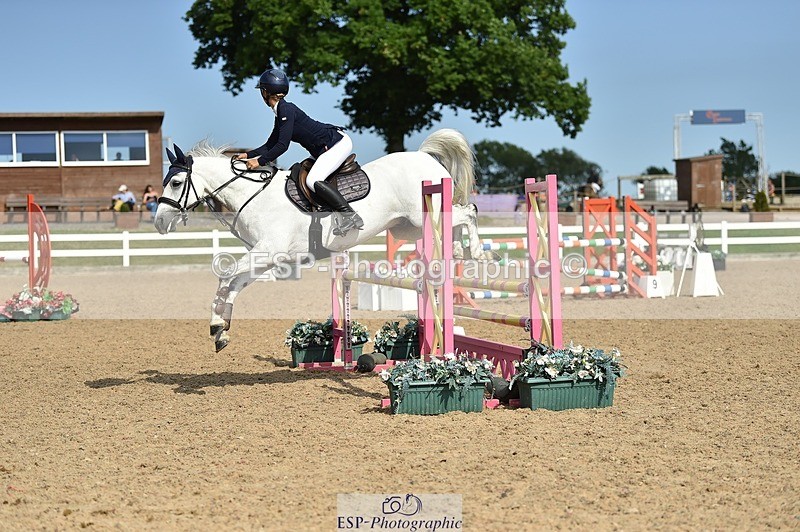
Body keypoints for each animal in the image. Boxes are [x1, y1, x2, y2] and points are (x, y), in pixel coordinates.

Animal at [154, 128, 494, 352]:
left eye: (176, 182)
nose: (159, 222)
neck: (253, 196)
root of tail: (424, 156)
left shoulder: (268, 251)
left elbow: (225, 276)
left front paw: (216, 325)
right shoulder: (266, 257)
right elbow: (233, 284)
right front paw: (221, 331)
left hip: (423, 213)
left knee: (469, 212)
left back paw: (478, 253)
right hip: (407, 227)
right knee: (455, 222)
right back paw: (458, 251)